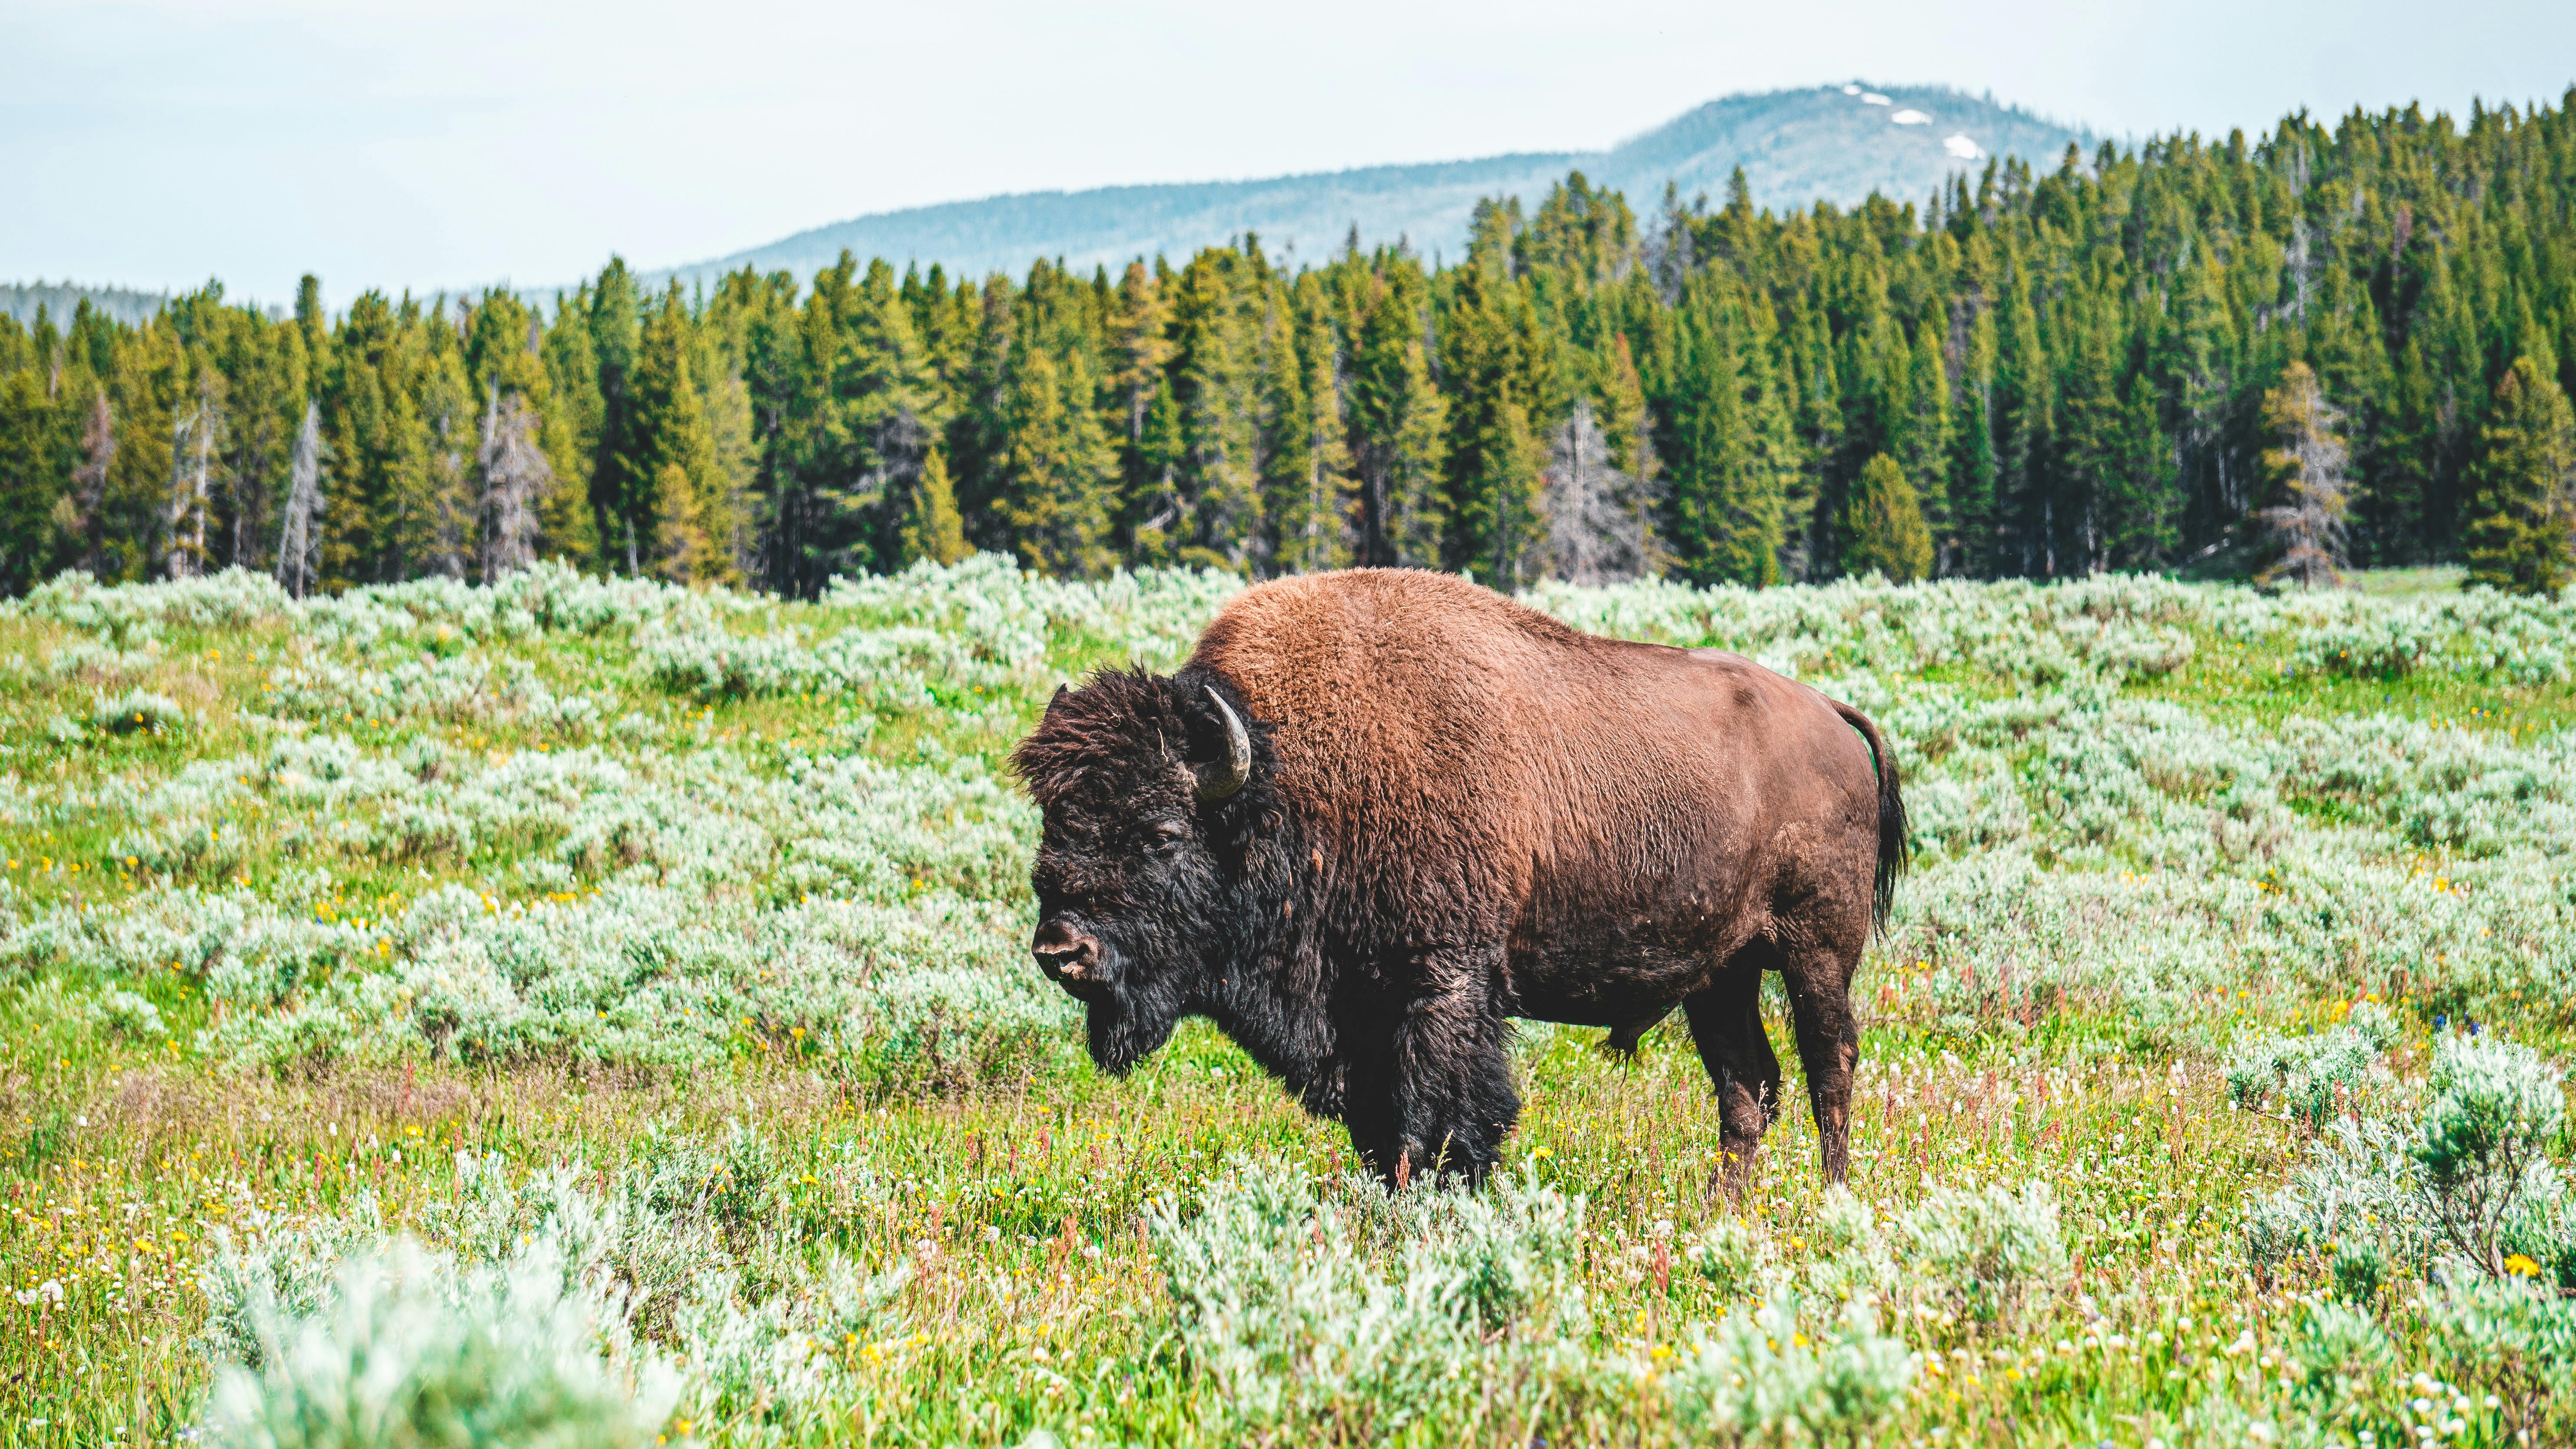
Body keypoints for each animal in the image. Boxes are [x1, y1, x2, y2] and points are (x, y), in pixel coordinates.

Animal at [1012, 569, 1903, 1193]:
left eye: (1162, 834)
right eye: (1053, 823)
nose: (1061, 949)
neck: (1284, 780)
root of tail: (1830, 712)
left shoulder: (1441, 984)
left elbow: (1441, 1119)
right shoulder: (1362, 1018)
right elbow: (1383, 1131)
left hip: (1814, 951)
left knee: (1829, 1065)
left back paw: (1831, 1200)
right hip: (1720, 975)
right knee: (1745, 1088)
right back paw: (1724, 1210)